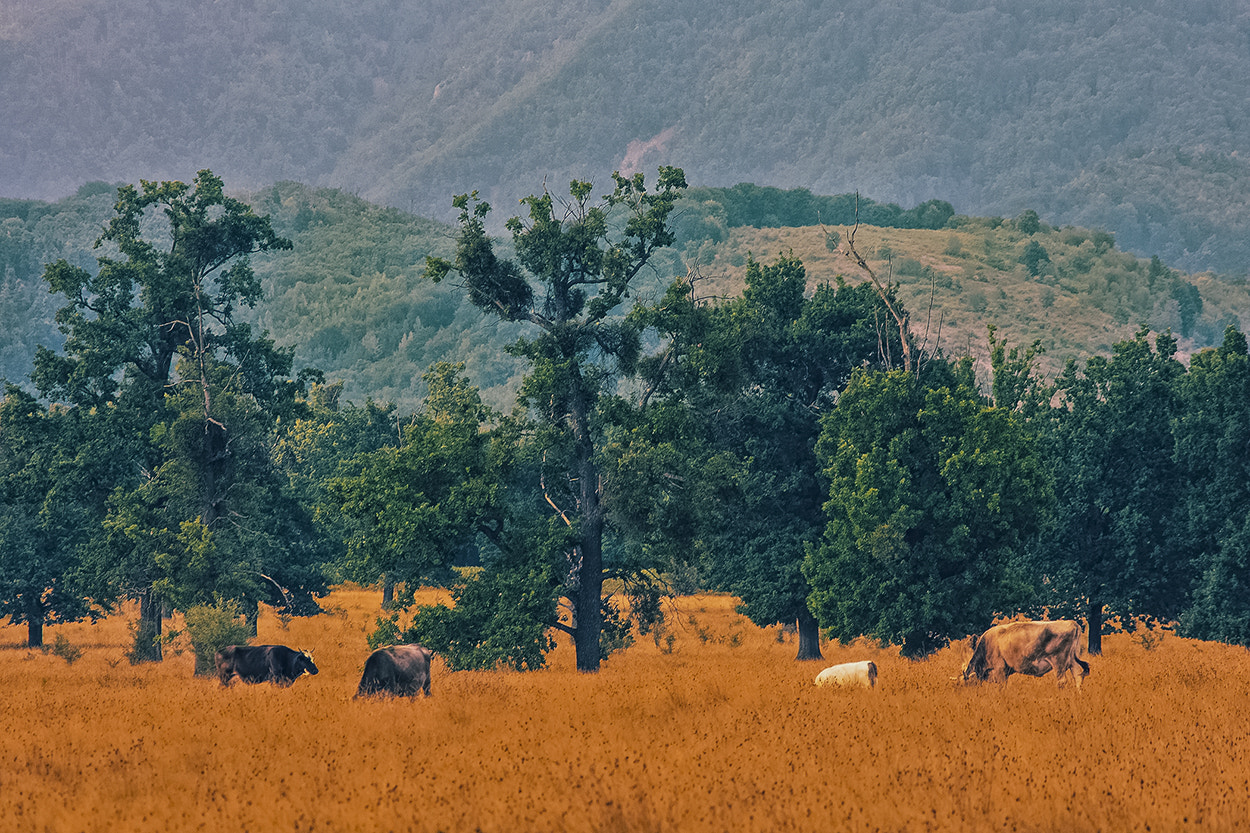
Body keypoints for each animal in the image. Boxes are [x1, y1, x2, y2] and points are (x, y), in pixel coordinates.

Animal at [960, 615, 1090, 685]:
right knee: (1078, 678)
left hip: (1059, 663)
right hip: (1073, 662)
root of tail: (1072, 623)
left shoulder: (1000, 670)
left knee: (1062, 681)